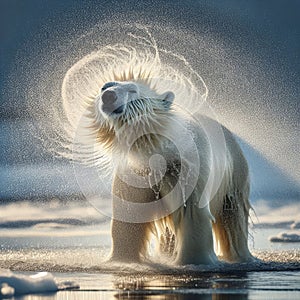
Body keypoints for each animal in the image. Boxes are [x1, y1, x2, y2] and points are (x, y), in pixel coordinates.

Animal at [89, 75, 253, 264]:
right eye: (104, 87)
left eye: (133, 90)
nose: (108, 96)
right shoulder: (136, 173)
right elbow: (130, 212)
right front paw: (121, 259)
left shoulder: (188, 171)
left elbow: (192, 214)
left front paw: (194, 260)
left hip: (235, 173)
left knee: (233, 216)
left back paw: (241, 255)